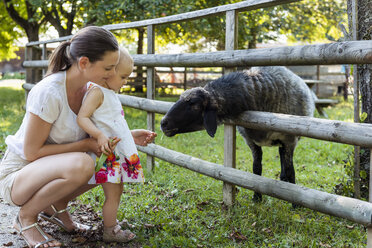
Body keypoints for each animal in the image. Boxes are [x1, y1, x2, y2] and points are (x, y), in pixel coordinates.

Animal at [161, 65, 316, 203]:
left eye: (194, 104)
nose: (163, 123)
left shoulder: (290, 139)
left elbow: (290, 170)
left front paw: (295, 204)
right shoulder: (251, 141)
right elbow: (256, 169)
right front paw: (257, 198)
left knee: (285, 160)